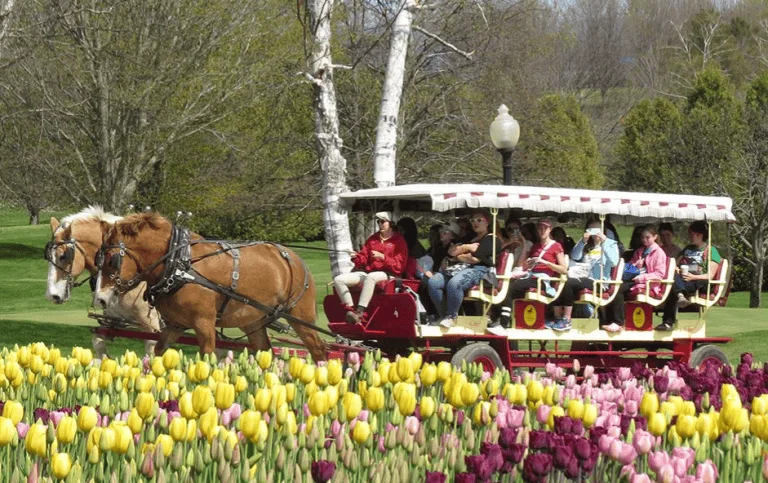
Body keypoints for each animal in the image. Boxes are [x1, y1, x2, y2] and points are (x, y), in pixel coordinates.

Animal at [45, 206, 162, 358]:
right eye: (47, 256)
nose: (52, 296)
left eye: (63, 256)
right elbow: (98, 342)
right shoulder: (113, 321)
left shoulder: (152, 325)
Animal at [93, 214, 328, 362]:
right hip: (253, 321)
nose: (101, 299)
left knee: (318, 351)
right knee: (265, 353)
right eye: (98, 259)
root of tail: (295, 259)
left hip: (301, 317)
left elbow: (207, 359)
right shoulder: (175, 325)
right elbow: (157, 353)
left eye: (112, 260)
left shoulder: (204, 323)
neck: (179, 263)